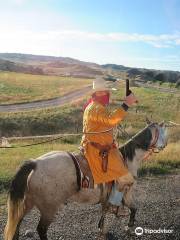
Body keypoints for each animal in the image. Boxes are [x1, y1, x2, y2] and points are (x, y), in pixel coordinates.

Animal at [3, 122, 167, 240]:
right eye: (163, 132)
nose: (164, 145)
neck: (127, 159)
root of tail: (35, 163)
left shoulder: (109, 196)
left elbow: (106, 210)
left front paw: (102, 228)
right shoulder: (125, 192)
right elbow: (133, 209)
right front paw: (129, 226)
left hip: (28, 203)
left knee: (16, 225)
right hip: (49, 208)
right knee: (41, 229)